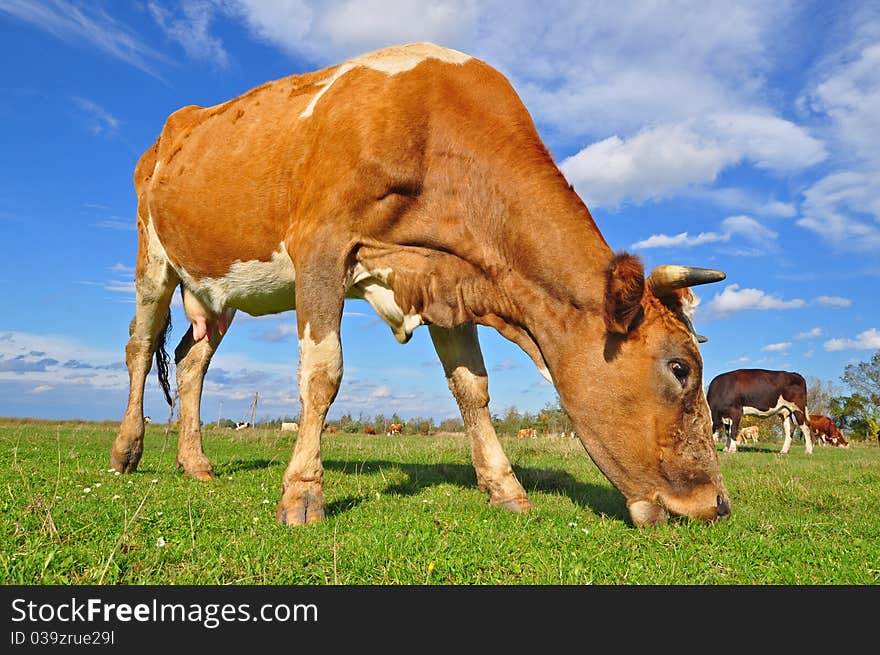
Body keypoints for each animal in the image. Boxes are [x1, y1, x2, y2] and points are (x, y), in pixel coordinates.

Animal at [110, 42, 728, 528]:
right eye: (680, 368)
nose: (717, 506)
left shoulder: (447, 280)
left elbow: (472, 388)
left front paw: (504, 488)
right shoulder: (321, 249)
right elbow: (322, 374)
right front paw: (303, 493)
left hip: (218, 292)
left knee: (191, 360)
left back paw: (195, 464)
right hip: (153, 258)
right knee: (139, 347)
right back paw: (126, 450)